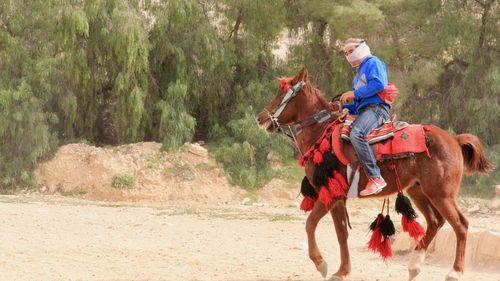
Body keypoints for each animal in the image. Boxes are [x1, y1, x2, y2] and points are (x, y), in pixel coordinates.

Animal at [256, 68, 494, 280]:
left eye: (282, 93)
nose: (260, 118)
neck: (322, 133)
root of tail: (453, 139)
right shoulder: (338, 198)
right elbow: (341, 233)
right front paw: (342, 271)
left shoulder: (329, 194)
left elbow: (310, 224)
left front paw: (321, 263)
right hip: (419, 192)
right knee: (435, 222)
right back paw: (414, 266)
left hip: (441, 194)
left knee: (460, 225)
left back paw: (455, 272)